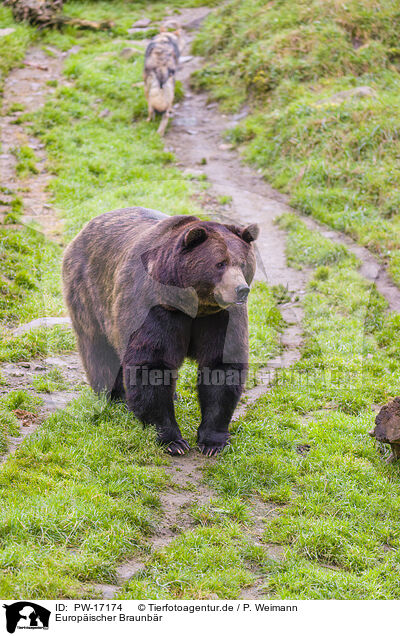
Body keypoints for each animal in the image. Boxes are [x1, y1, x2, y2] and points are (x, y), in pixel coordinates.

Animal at [61, 210, 258, 458]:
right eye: (220, 263)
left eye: (243, 263)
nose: (241, 290)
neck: (193, 306)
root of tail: (87, 226)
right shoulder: (154, 306)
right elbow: (151, 364)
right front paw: (172, 440)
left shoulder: (221, 317)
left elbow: (221, 366)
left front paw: (212, 442)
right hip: (88, 293)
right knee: (98, 349)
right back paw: (113, 396)